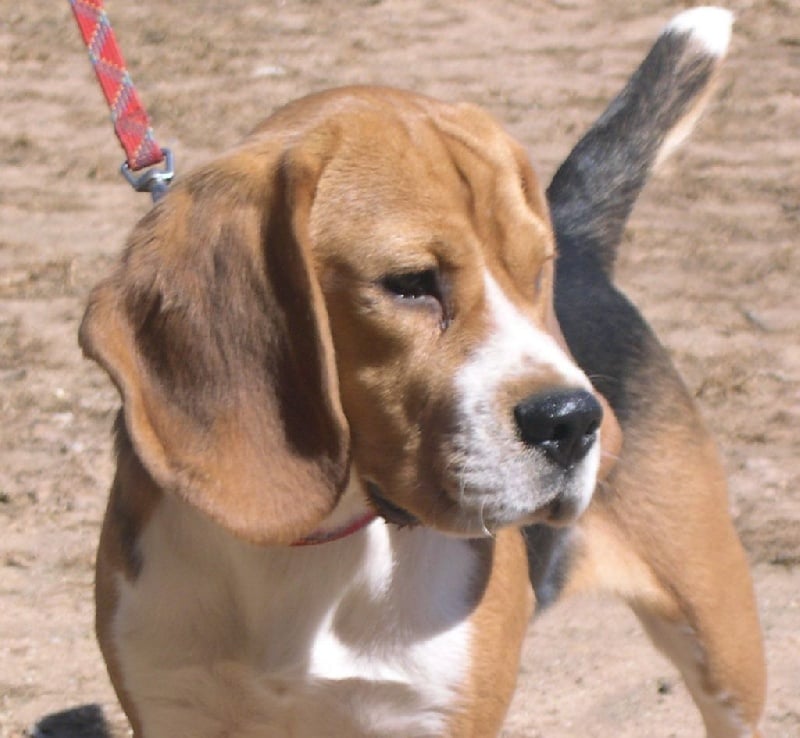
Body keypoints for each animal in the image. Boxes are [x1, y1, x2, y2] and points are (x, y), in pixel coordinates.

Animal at [80, 7, 765, 737]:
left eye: (536, 270)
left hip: (721, 633)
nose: (576, 423)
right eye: (409, 283)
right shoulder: (173, 704)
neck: (309, 545)